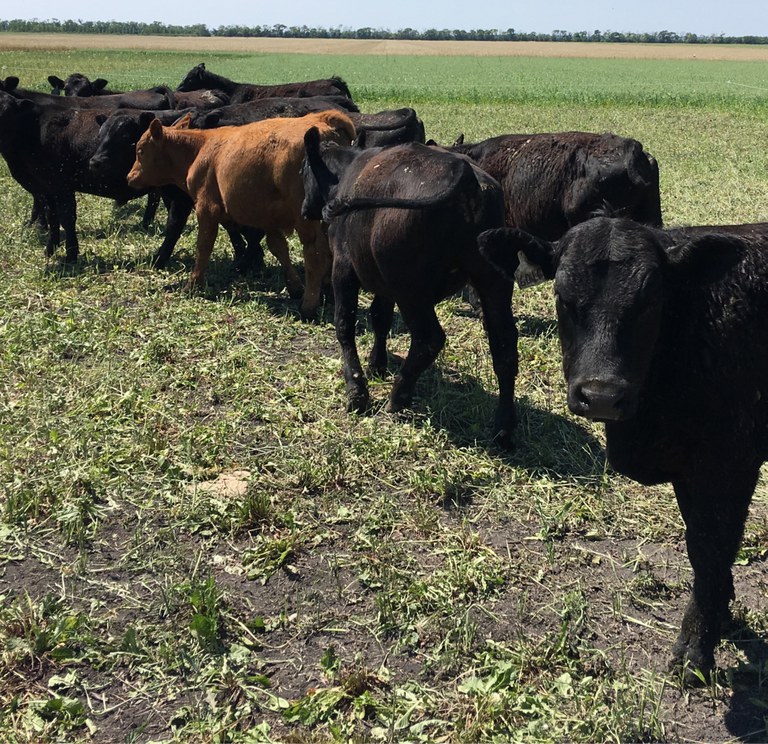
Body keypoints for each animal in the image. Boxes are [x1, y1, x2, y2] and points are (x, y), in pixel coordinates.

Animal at [127, 109, 358, 316]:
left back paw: (309, 306)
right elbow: (278, 248)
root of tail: (322, 118)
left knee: (315, 254)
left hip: (306, 218)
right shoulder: (268, 217)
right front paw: (294, 287)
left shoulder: (207, 208)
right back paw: (327, 292)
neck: (200, 150)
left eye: (140, 151)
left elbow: (203, 247)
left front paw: (193, 284)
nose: (129, 177)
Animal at [300, 134, 516, 448]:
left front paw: (357, 390)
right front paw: (377, 363)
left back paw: (398, 395)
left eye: (302, 170)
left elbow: (344, 325)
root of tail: (465, 176)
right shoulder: (382, 283)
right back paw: (504, 429)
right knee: (504, 348)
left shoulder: (344, 268)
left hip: (412, 293)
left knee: (430, 339)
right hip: (492, 285)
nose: (304, 209)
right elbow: (380, 318)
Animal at [476, 218, 768, 684]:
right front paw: (721, 612)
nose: (601, 396)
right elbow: (699, 543)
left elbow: (711, 548)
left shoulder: (731, 461)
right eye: (562, 297)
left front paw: (695, 650)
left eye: (651, 301)